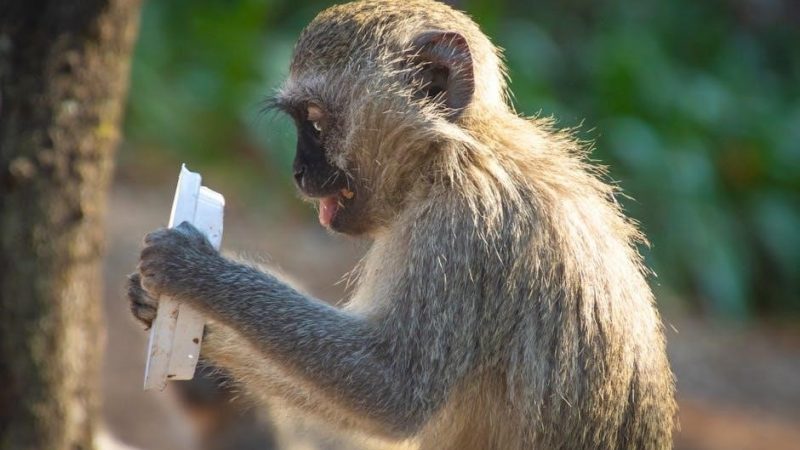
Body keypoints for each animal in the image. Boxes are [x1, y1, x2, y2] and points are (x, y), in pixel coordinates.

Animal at [128, 1, 676, 448]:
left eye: (315, 121)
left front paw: (196, 272)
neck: (453, 151)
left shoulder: (462, 227)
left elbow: (392, 390)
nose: (298, 173)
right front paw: (180, 321)